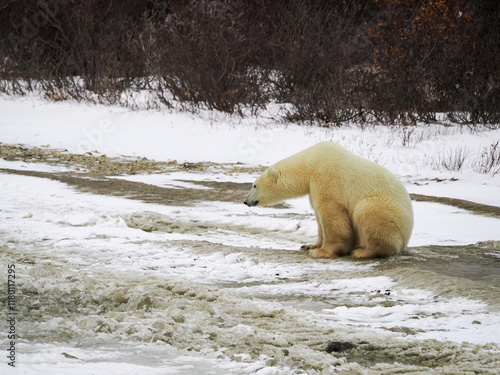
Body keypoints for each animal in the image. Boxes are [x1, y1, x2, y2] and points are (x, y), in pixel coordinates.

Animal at [243, 141, 414, 258]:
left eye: (254, 185)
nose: (246, 201)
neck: (310, 163)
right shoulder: (313, 186)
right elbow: (318, 216)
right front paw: (309, 246)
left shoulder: (327, 177)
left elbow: (330, 213)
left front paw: (321, 252)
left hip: (386, 211)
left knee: (366, 212)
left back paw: (362, 251)